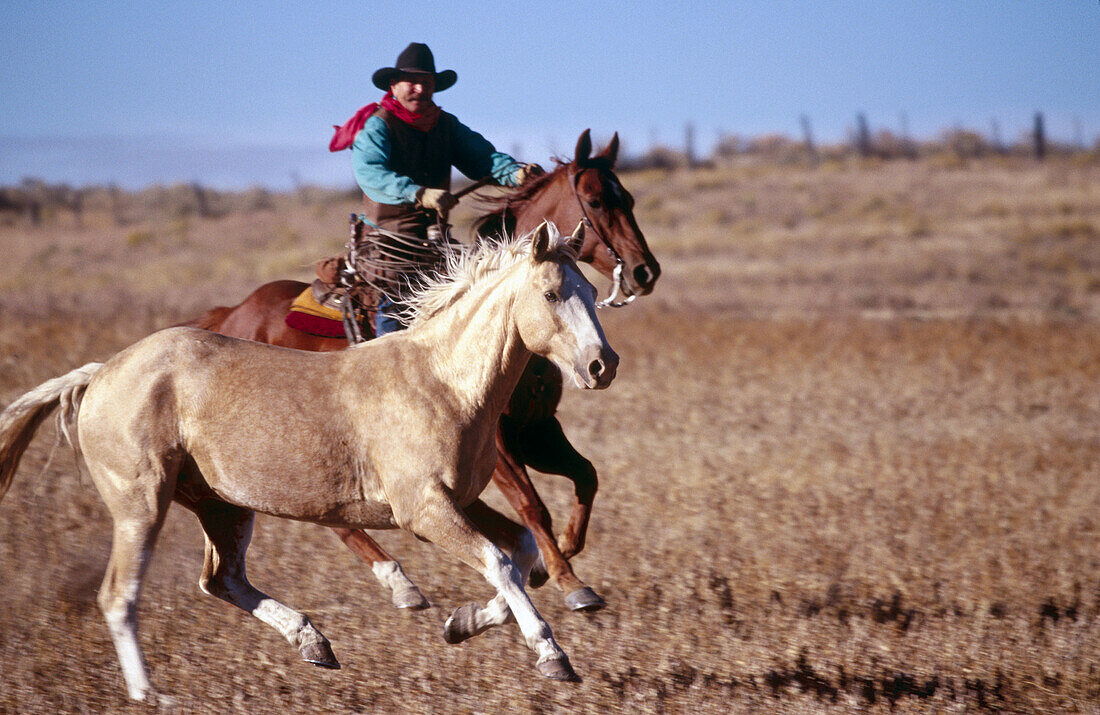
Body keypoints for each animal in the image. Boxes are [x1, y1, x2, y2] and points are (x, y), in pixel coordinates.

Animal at [0, 221, 616, 695]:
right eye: (552, 294)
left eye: (591, 290)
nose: (601, 365)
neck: (443, 381)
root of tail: (100, 373)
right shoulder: (423, 510)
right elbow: (501, 561)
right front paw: (552, 657)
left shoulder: (458, 502)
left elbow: (524, 552)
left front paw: (461, 623)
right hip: (140, 504)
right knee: (119, 595)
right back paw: (151, 695)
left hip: (221, 506)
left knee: (221, 580)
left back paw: (313, 642)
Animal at [187, 130, 660, 611]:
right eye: (596, 200)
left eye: (628, 198)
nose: (645, 271)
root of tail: (229, 315)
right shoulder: (502, 445)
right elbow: (533, 507)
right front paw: (566, 578)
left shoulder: (538, 430)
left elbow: (586, 477)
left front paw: (562, 553)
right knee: (337, 520)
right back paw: (400, 583)